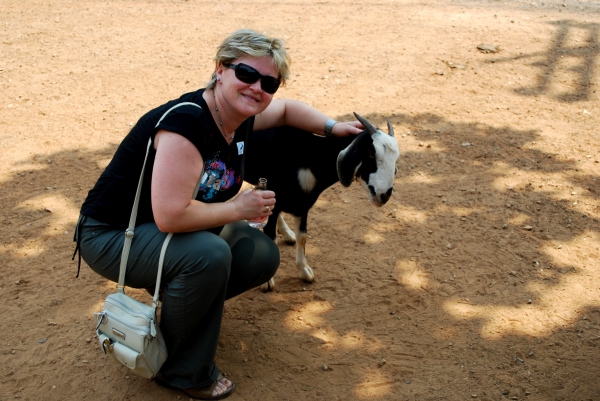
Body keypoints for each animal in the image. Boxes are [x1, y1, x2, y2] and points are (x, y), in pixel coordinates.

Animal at [244, 112, 398, 290]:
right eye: (371, 154)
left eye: (396, 160)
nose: (384, 195)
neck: (308, 156)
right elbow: (270, 237)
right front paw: (267, 282)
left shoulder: (303, 204)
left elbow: (302, 236)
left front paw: (305, 272)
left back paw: (288, 234)